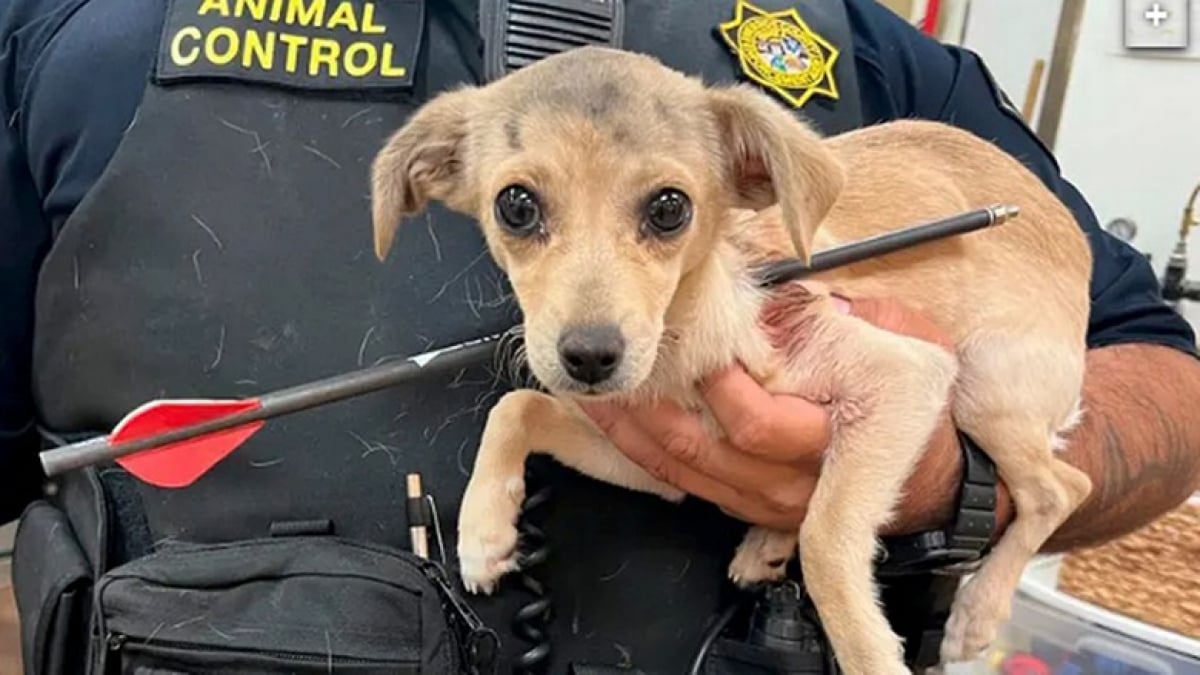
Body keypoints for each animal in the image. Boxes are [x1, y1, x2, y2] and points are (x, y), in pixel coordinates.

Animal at [369, 47, 1094, 672]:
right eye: (515, 206)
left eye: (669, 209)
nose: (590, 357)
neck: (681, 345)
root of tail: (1068, 226)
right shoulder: (656, 460)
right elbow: (517, 406)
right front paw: (483, 532)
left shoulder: (904, 376)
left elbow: (828, 536)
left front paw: (868, 651)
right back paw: (766, 543)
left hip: (983, 383)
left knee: (1062, 487)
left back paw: (977, 610)